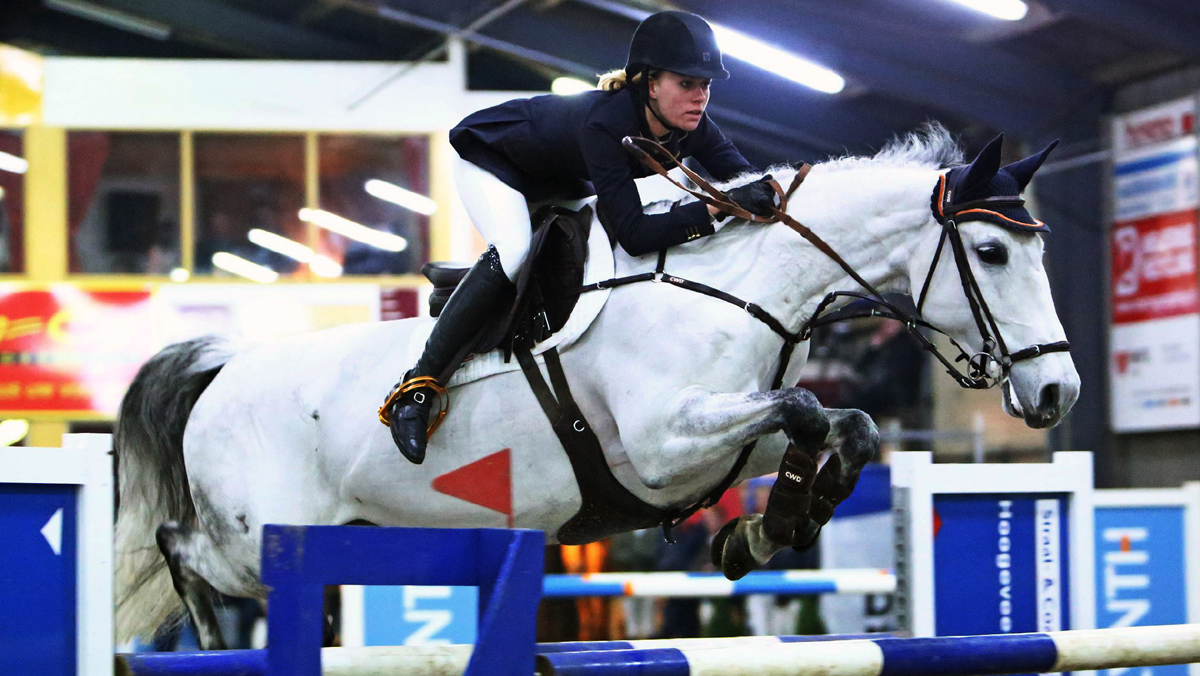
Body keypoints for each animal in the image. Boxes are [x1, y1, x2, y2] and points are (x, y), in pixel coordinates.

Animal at [117, 124, 1084, 648]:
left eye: (1038, 252)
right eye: (991, 251)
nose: (1059, 395)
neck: (743, 286)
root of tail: (219, 372)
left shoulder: (729, 436)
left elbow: (843, 424)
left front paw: (766, 530)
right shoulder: (661, 447)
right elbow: (809, 409)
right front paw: (770, 528)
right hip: (256, 539)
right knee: (180, 549)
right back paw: (206, 645)